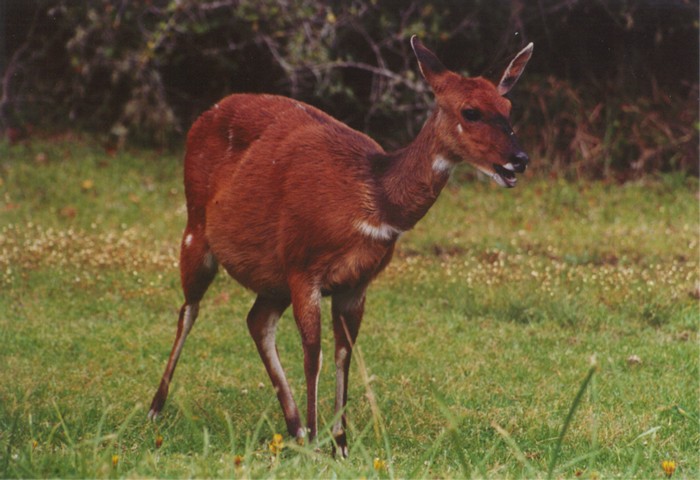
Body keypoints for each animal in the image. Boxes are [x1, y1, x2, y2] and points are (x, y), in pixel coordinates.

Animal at [146, 35, 532, 456]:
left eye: (508, 107)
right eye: (470, 111)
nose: (519, 159)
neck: (373, 201)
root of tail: (204, 116)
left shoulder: (355, 285)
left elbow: (343, 354)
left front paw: (340, 445)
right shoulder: (304, 270)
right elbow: (312, 354)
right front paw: (319, 445)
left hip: (272, 277)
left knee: (256, 320)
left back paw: (295, 428)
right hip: (197, 230)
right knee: (189, 310)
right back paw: (155, 410)